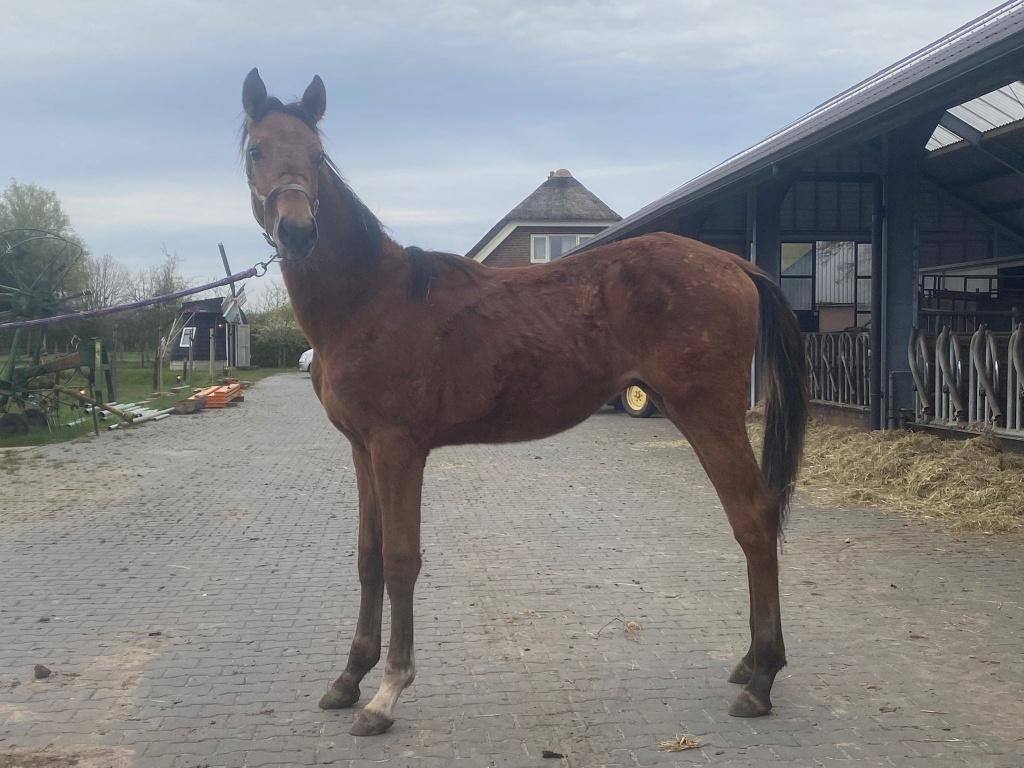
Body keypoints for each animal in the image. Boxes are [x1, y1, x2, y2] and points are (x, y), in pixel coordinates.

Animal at [239, 68, 808, 737]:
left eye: (316, 156)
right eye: (257, 151)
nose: (298, 231)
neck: (370, 300)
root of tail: (733, 262)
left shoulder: (398, 449)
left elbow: (402, 560)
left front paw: (388, 692)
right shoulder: (362, 450)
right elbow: (369, 557)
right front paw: (350, 677)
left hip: (710, 415)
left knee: (753, 520)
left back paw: (763, 678)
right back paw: (751, 665)